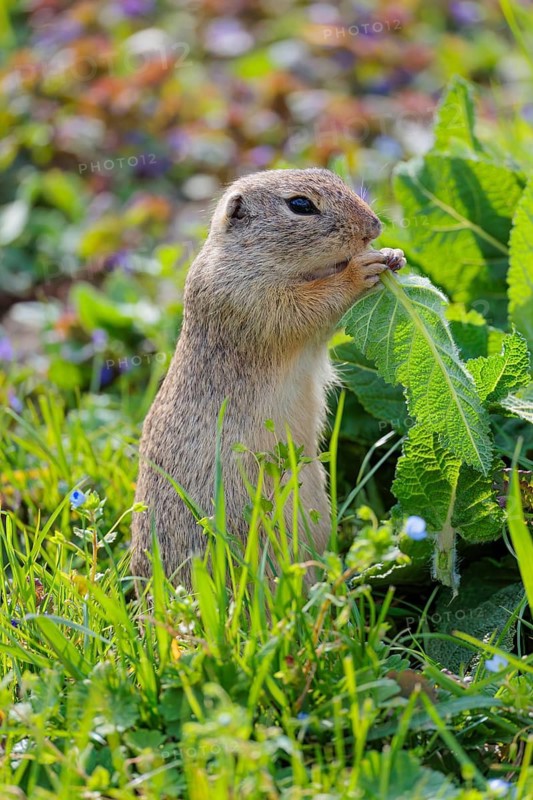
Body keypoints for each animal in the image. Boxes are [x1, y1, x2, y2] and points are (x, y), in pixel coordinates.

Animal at [131, 168, 405, 591]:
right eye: (300, 205)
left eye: (331, 175)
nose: (374, 227)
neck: (245, 255)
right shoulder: (250, 299)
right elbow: (307, 306)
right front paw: (361, 270)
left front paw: (393, 255)